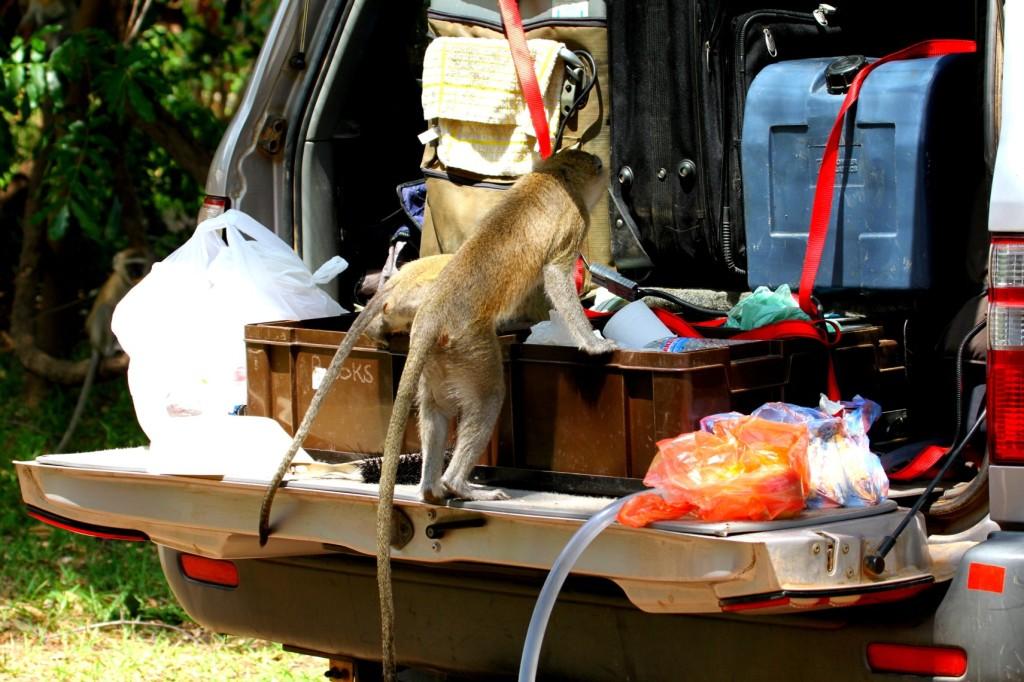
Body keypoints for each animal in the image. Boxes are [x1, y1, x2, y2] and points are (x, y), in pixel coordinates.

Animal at [55, 248, 151, 450]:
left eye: (139, 265)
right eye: (130, 266)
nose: (135, 274)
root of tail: (94, 344)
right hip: (99, 333)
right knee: (107, 309)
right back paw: (112, 349)